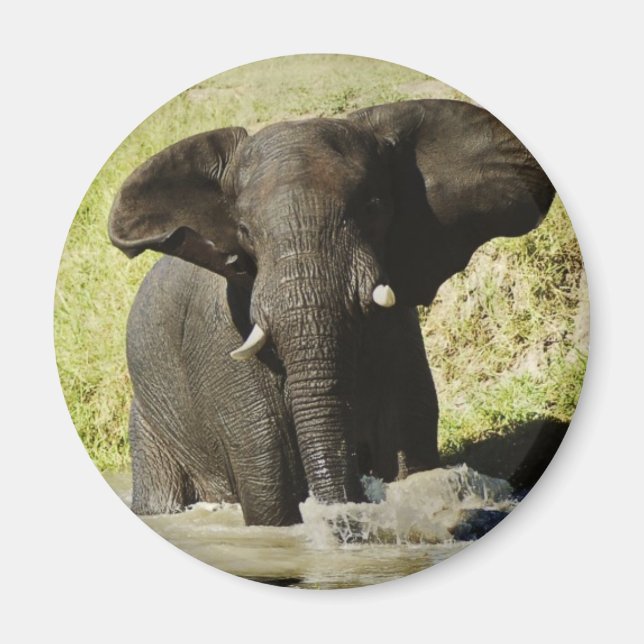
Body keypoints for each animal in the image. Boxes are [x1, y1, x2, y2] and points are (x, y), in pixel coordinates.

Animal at [108, 99, 555, 527]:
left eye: (374, 206)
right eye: (245, 233)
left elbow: (407, 440)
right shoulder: (220, 338)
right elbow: (269, 480)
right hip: (150, 424)